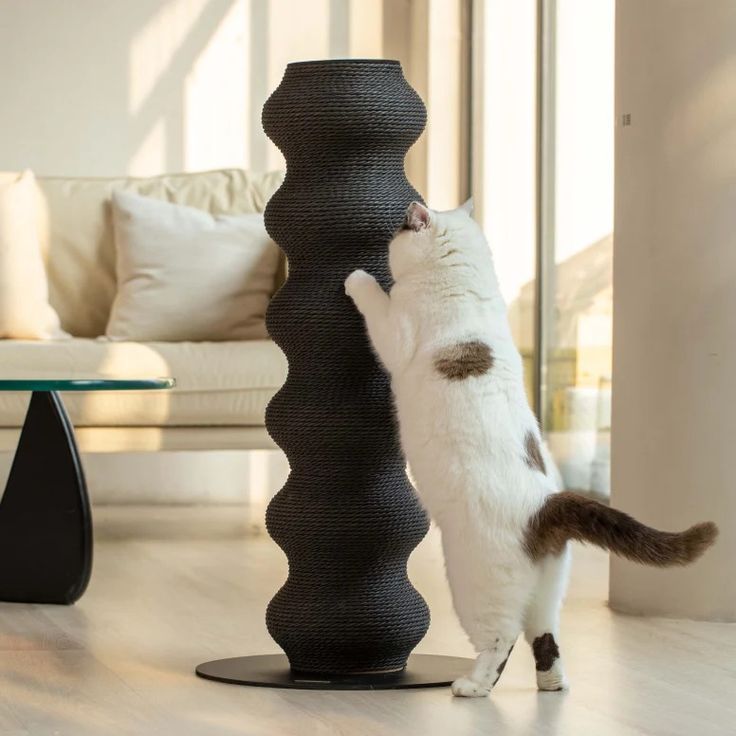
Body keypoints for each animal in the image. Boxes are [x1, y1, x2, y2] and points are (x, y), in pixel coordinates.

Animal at [346, 200, 720, 696]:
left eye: (397, 233)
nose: (388, 233)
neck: (466, 286)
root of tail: (549, 504)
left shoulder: (397, 330)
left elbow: (376, 303)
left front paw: (356, 277)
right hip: (548, 591)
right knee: (546, 638)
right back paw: (551, 685)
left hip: (473, 582)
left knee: (501, 640)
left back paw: (471, 686)